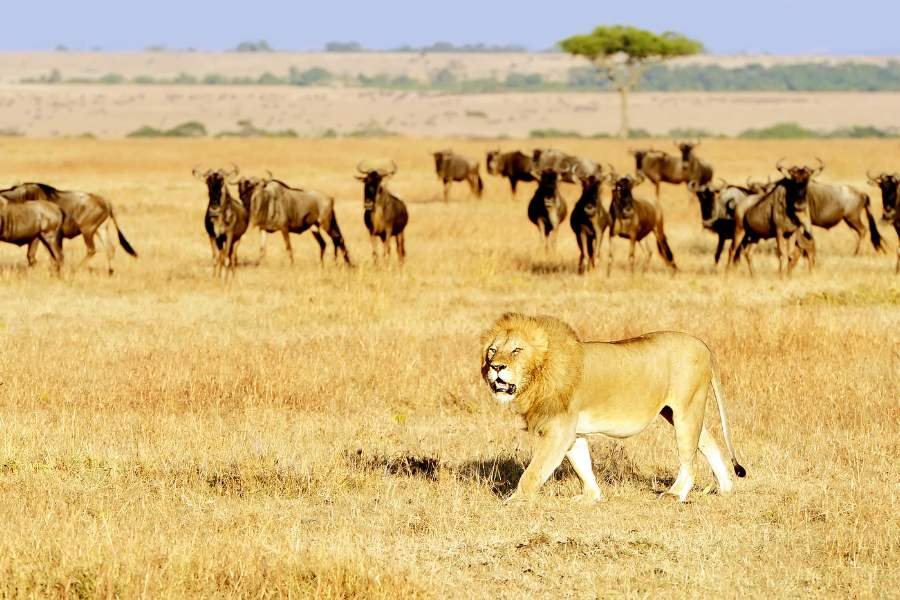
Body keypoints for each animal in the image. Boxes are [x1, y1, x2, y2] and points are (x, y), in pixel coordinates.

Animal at [481, 313, 746, 503]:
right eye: (492, 350)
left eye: (516, 350)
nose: (496, 367)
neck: (539, 374)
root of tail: (703, 345)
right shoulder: (573, 431)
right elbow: (582, 465)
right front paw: (592, 497)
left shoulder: (559, 429)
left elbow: (534, 470)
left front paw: (515, 500)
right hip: (676, 412)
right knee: (709, 442)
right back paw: (725, 488)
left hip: (686, 409)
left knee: (689, 458)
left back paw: (675, 494)